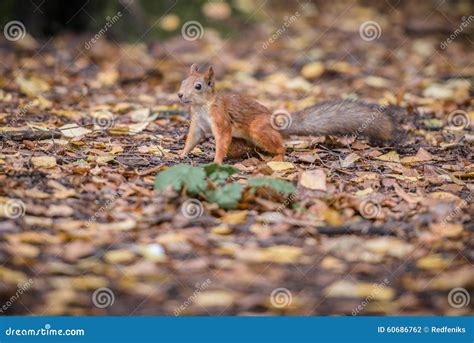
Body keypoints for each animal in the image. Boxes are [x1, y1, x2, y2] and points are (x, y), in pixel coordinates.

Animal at [177, 65, 400, 165]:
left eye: (198, 86)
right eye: (182, 82)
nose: (180, 95)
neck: (202, 107)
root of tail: (274, 123)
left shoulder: (220, 118)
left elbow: (222, 138)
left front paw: (216, 161)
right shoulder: (197, 125)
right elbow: (192, 139)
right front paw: (181, 154)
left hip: (259, 128)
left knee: (280, 146)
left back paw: (277, 157)